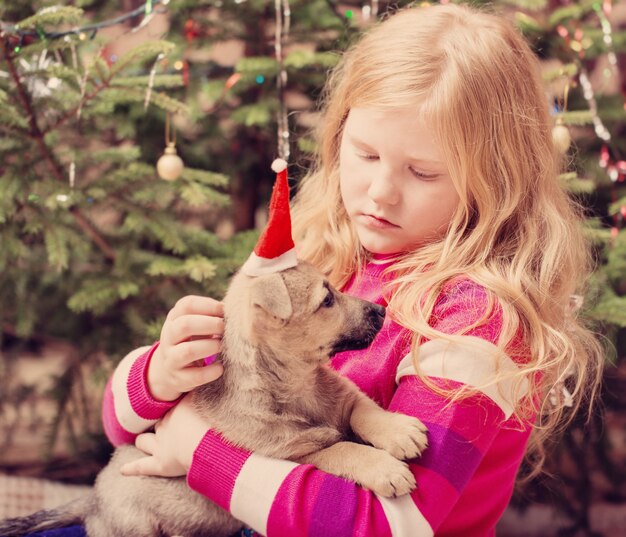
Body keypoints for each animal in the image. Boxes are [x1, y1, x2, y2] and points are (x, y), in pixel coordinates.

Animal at [0, 262, 426, 536]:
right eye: (327, 300)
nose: (381, 311)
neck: (297, 386)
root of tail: (91, 500)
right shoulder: (293, 454)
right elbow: (342, 450)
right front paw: (383, 468)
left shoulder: (345, 397)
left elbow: (365, 412)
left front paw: (398, 431)